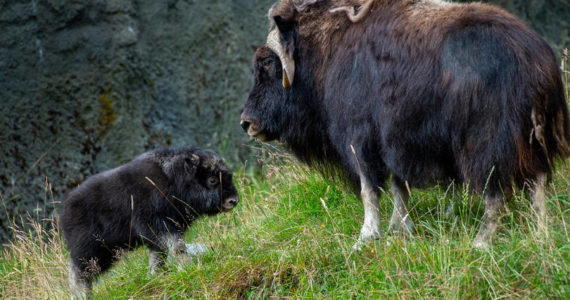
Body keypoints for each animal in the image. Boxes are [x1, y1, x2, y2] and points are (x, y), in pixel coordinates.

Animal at [61, 146, 239, 296]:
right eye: (212, 180)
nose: (233, 200)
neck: (173, 180)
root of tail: (64, 211)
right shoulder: (159, 225)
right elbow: (178, 247)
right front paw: (187, 267)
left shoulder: (158, 233)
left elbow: (159, 256)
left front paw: (155, 276)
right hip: (91, 252)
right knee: (79, 276)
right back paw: (81, 296)